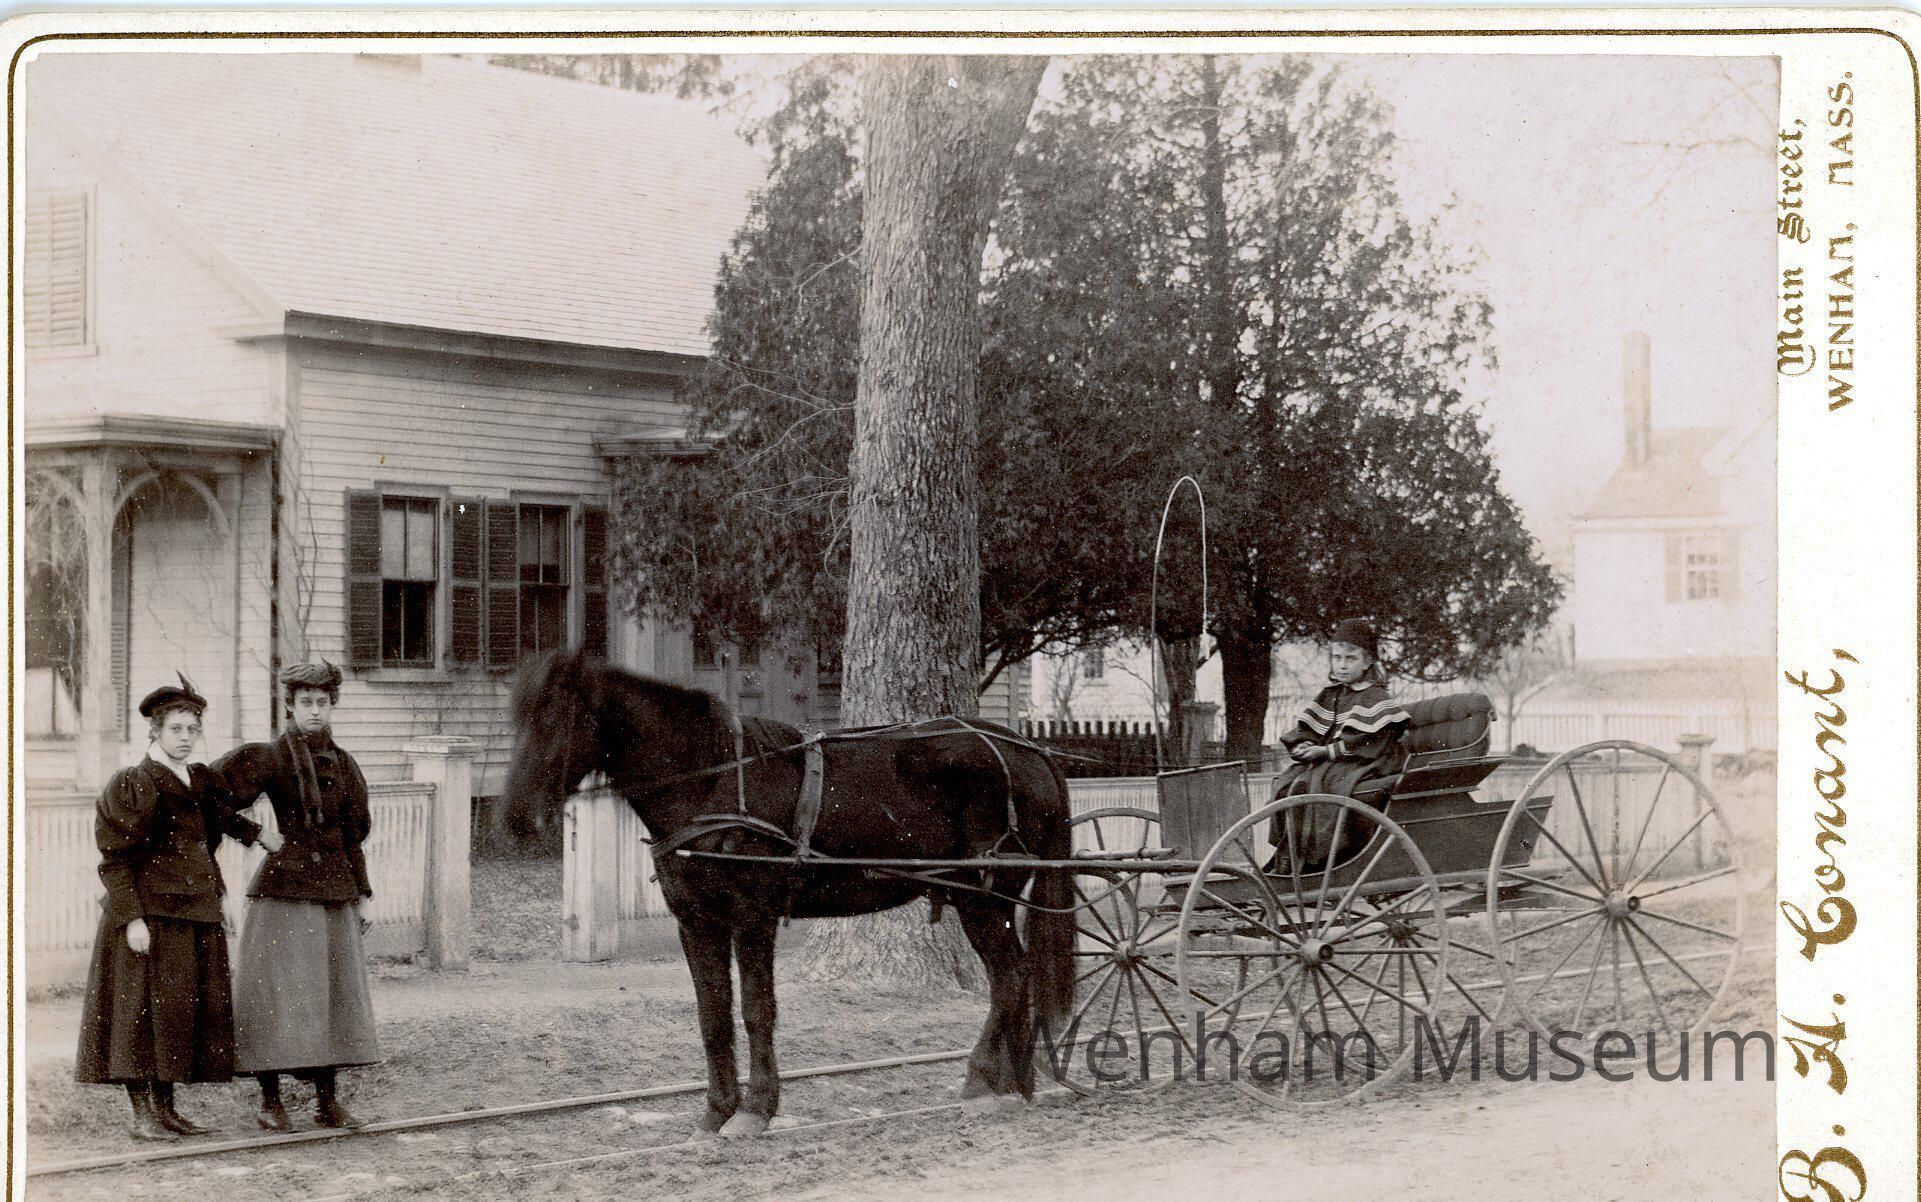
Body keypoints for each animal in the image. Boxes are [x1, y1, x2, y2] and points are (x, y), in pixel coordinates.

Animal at [504, 648, 1077, 1136]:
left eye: (553, 718)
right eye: (517, 719)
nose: (515, 818)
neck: (712, 781)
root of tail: (1028, 750)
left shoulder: (751, 918)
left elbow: (756, 1010)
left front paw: (755, 1109)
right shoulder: (696, 923)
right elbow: (712, 1016)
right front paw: (717, 1110)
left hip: (984, 900)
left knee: (1011, 977)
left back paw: (982, 1080)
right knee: (1014, 978)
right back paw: (1014, 1082)